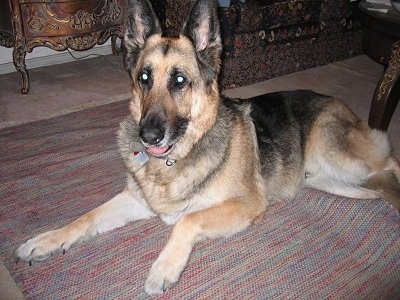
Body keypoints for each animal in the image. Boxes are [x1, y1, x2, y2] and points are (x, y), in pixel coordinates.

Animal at [15, 0, 400, 296]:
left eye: (179, 80)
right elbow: (88, 216)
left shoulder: (243, 205)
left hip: (335, 151)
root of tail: (341, 105)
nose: (147, 137)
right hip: (323, 176)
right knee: (373, 182)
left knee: (390, 161)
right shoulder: (136, 200)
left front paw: (163, 269)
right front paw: (48, 240)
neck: (176, 159)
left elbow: (186, 221)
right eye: (144, 78)